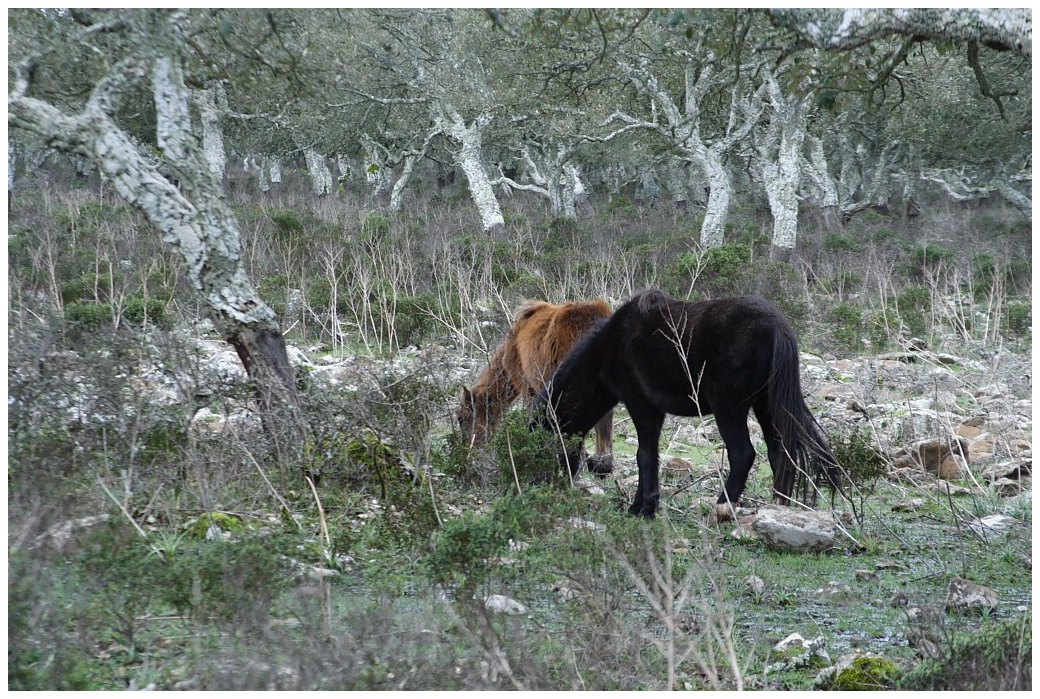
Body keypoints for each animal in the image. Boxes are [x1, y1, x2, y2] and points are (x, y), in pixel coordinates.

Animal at [532, 289, 840, 518]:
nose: (548, 483)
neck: (612, 345)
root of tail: (777, 326)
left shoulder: (641, 407)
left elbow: (645, 456)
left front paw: (644, 508)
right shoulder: (653, 412)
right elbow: (648, 456)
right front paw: (641, 505)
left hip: (729, 409)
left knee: (743, 454)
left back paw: (722, 508)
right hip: (765, 406)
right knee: (779, 454)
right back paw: (779, 508)